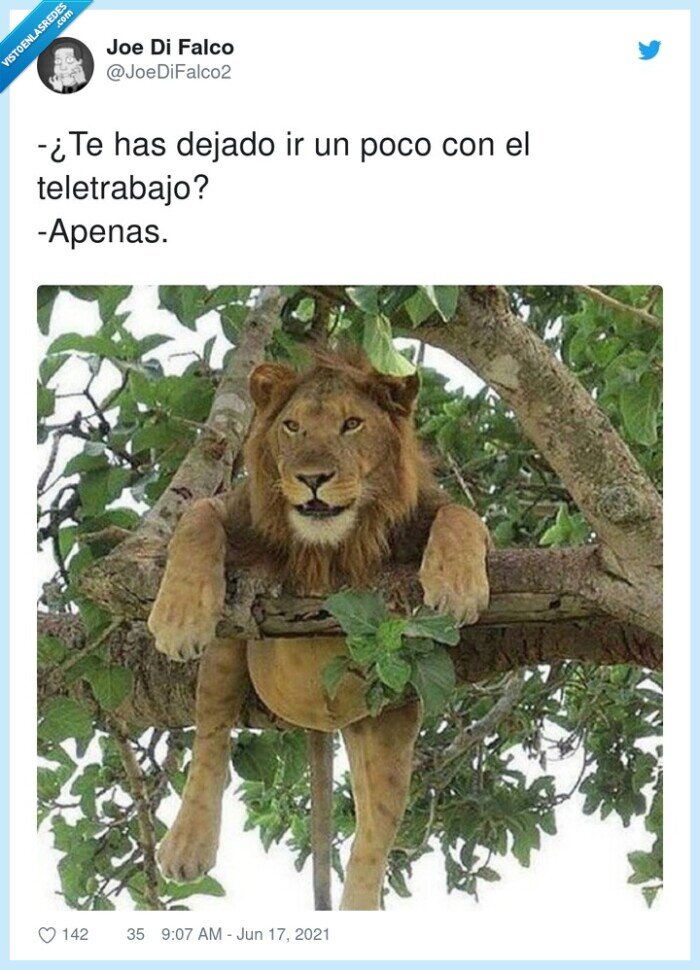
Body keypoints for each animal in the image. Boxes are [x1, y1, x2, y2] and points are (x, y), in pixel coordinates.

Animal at [148, 351, 490, 910]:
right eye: (292, 426)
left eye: (352, 424)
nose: (312, 478)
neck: (330, 548)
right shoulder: (240, 512)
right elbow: (197, 515)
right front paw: (176, 619)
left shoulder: (431, 516)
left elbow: (462, 513)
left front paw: (458, 584)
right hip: (229, 650)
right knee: (211, 738)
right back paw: (187, 843)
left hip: (391, 721)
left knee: (374, 834)